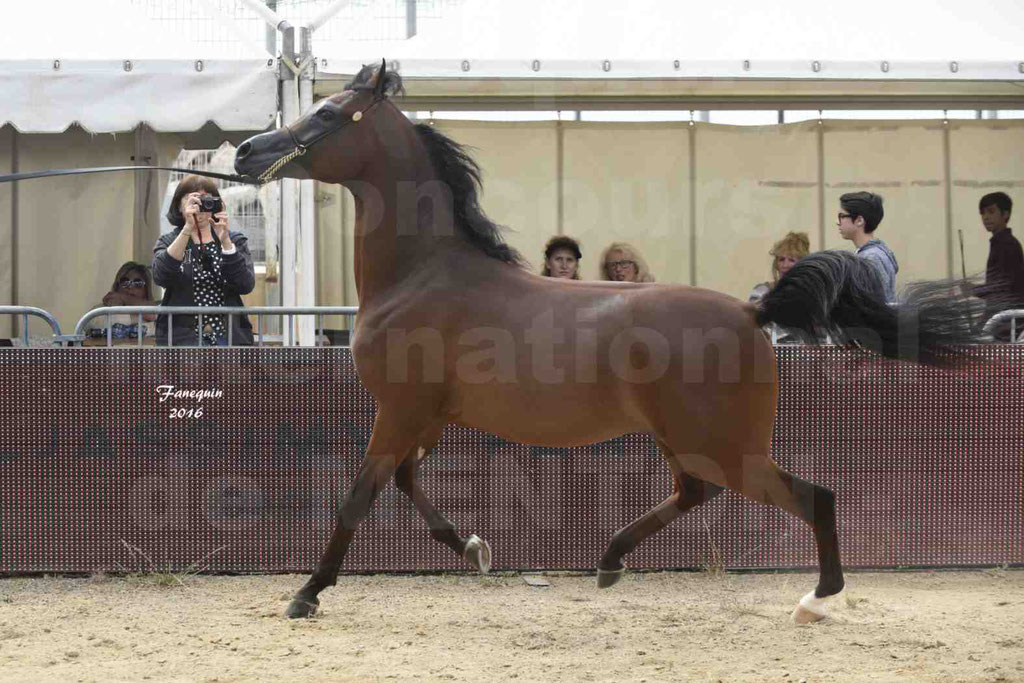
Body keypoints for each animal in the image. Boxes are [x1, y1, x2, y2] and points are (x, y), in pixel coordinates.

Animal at [232, 61, 983, 622]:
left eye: (328, 115)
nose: (245, 151)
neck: (424, 274)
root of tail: (753, 311)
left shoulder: (399, 410)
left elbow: (359, 494)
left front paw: (306, 594)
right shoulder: (426, 415)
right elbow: (408, 483)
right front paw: (475, 548)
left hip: (724, 445)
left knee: (812, 496)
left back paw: (815, 600)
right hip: (687, 440)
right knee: (696, 495)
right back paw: (609, 561)